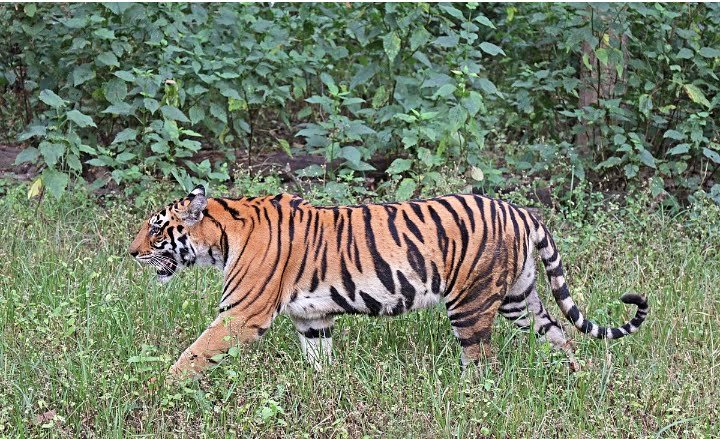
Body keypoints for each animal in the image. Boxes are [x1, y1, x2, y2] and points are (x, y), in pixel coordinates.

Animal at [128, 185, 648, 377]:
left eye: (155, 228)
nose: (130, 252)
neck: (221, 237)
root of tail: (520, 209)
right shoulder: (311, 319)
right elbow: (320, 361)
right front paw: (323, 391)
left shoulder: (241, 314)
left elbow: (195, 352)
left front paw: (163, 386)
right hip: (519, 298)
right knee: (559, 335)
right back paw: (576, 379)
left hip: (471, 304)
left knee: (482, 362)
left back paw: (471, 399)